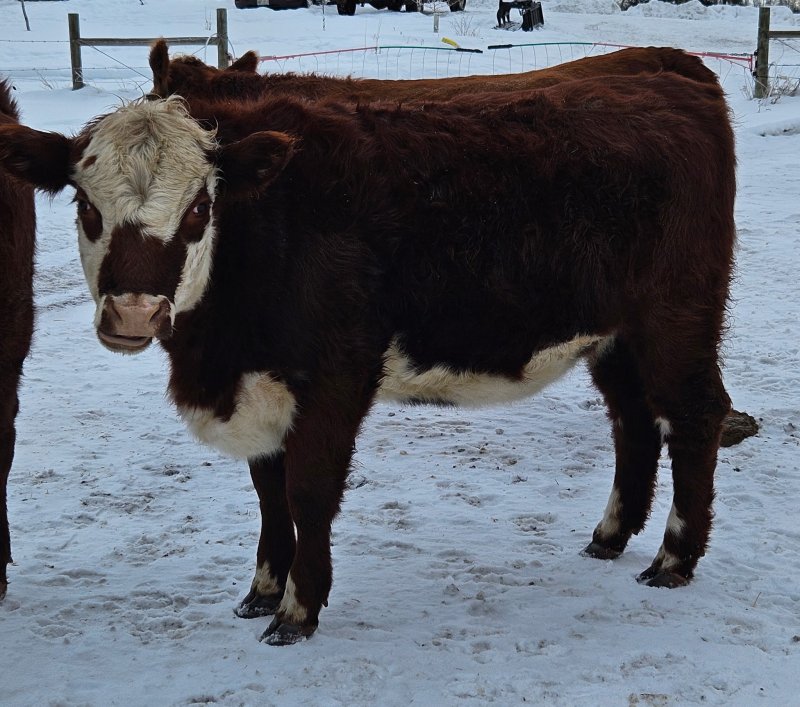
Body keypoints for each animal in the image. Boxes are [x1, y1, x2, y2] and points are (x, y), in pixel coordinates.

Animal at [0, 71, 736, 644]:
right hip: (614, 337)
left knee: (696, 418)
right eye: (86, 207)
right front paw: (262, 590)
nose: (133, 313)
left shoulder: (336, 373)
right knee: (634, 423)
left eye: (198, 209)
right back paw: (609, 535)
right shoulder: (262, 382)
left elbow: (308, 490)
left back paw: (674, 558)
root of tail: (670, 76)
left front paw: (297, 609)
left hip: (675, 323)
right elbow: (269, 490)